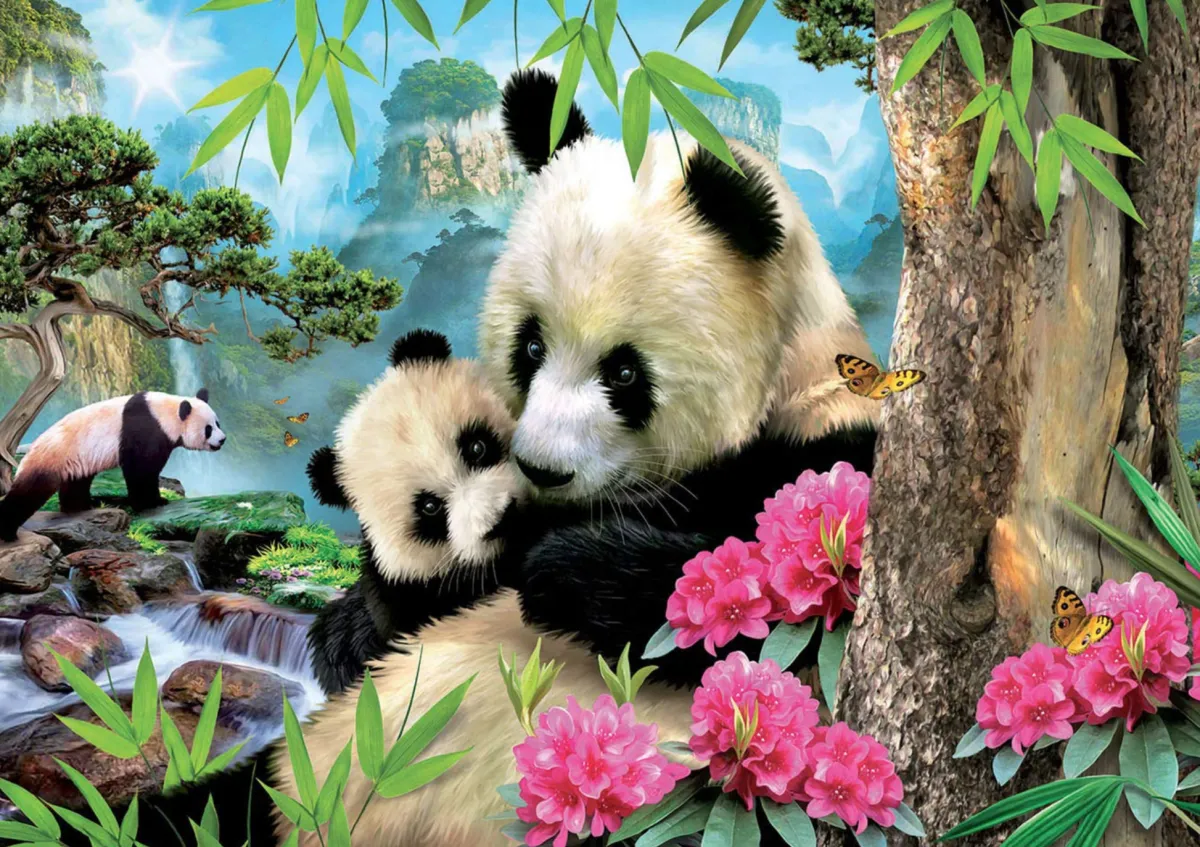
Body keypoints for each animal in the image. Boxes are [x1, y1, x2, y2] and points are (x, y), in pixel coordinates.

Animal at [0, 389, 225, 542]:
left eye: (218, 423)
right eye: (208, 429)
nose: (222, 440)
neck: (165, 413)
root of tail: (30, 449)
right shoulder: (145, 430)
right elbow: (141, 470)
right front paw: (154, 502)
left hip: (76, 460)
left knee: (76, 483)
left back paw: (81, 506)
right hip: (52, 457)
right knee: (28, 492)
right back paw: (8, 532)